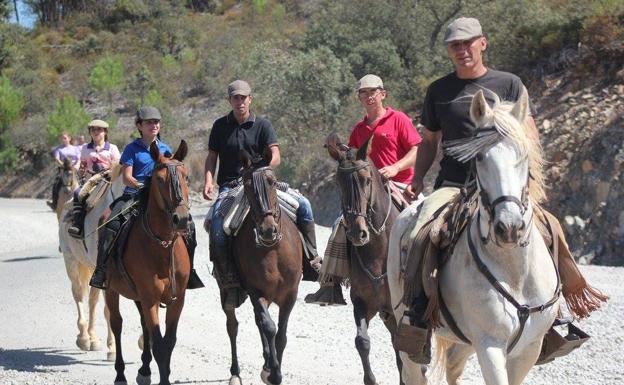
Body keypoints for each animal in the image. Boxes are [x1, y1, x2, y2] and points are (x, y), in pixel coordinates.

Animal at [58, 166, 125, 360]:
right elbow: (110, 310)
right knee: (78, 294)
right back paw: (84, 338)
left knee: (92, 300)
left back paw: (93, 338)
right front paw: (113, 350)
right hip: (71, 261)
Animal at [103, 140, 191, 384]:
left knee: (143, 326)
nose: (181, 219)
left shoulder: (177, 299)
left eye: (186, 177)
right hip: (111, 290)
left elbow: (168, 343)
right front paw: (164, 379)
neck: (162, 247)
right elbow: (159, 344)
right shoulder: (150, 298)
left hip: (138, 296)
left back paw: (144, 370)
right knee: (117, 324)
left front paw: (159, 373)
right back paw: (120, 374)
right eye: (159, 180)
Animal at [223, 148, 304, 382]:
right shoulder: (256, 291)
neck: (273, 249)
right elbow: (269, 328)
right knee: (233, 326)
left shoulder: (290, 294)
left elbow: (281, 335)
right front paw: (273, 373)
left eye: (272, 181)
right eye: (248, 185)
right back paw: (236, 373)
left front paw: (273, 369)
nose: (268, 230)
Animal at [326, 133, 404, 384]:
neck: (379, 252)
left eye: (367, 180)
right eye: (338, 182)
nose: (357, 233)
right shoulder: (362, 301)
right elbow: (362, 341)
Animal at [390, 88, 560, 382]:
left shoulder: (529, 349)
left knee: (452, 368)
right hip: (407, 325)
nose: (509, 227)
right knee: (413, 372)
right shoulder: (489, 345)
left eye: (524, 155)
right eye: (480, 158)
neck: (515, 272)